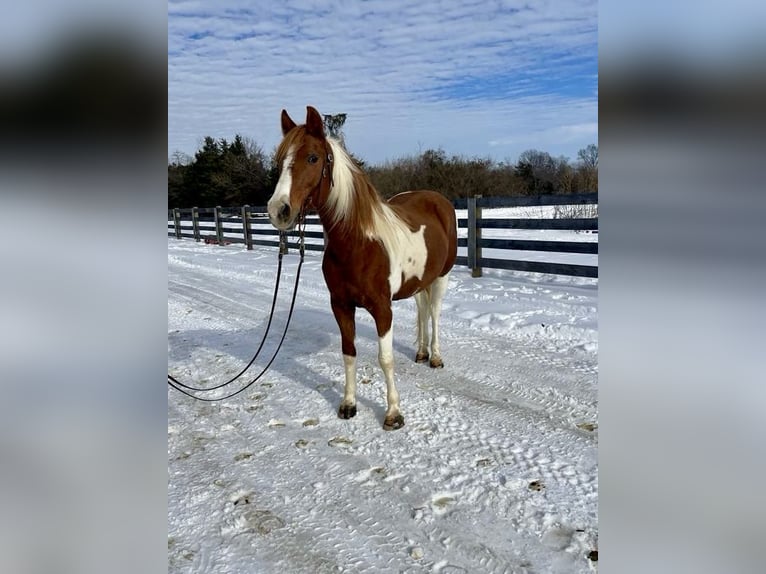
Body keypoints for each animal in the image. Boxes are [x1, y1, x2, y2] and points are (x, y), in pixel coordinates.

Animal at [268, 107, 460, 432]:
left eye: (313, 158)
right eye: (280, 161)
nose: (278, 210)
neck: (357, 244)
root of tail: (438, 200)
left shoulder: (383, 309)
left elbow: (385, 358)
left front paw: (393, 413)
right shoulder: (341, 305)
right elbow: (349, 353)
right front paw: (348, 404)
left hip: (442, 277)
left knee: (434, 313)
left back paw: (434, 357)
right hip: (420, 281)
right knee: (422, 310)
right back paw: (421, 353)